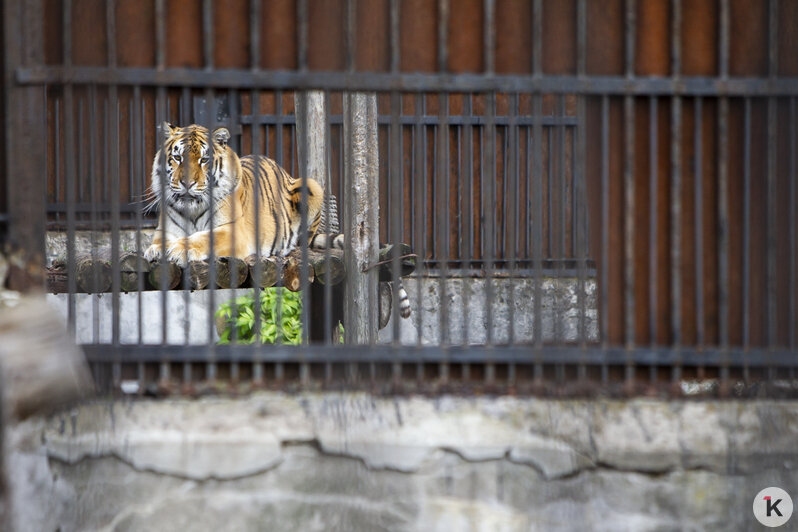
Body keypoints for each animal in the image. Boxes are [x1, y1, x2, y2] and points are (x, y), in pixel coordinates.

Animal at [141, 121, 412, 320]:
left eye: (204, 160)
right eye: (177, 158)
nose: (187, 183)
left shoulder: (234, 232)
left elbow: (201, 238)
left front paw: (178, 250)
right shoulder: (165, 229)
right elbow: (161, 240)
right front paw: (155, 250)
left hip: (310, 185)